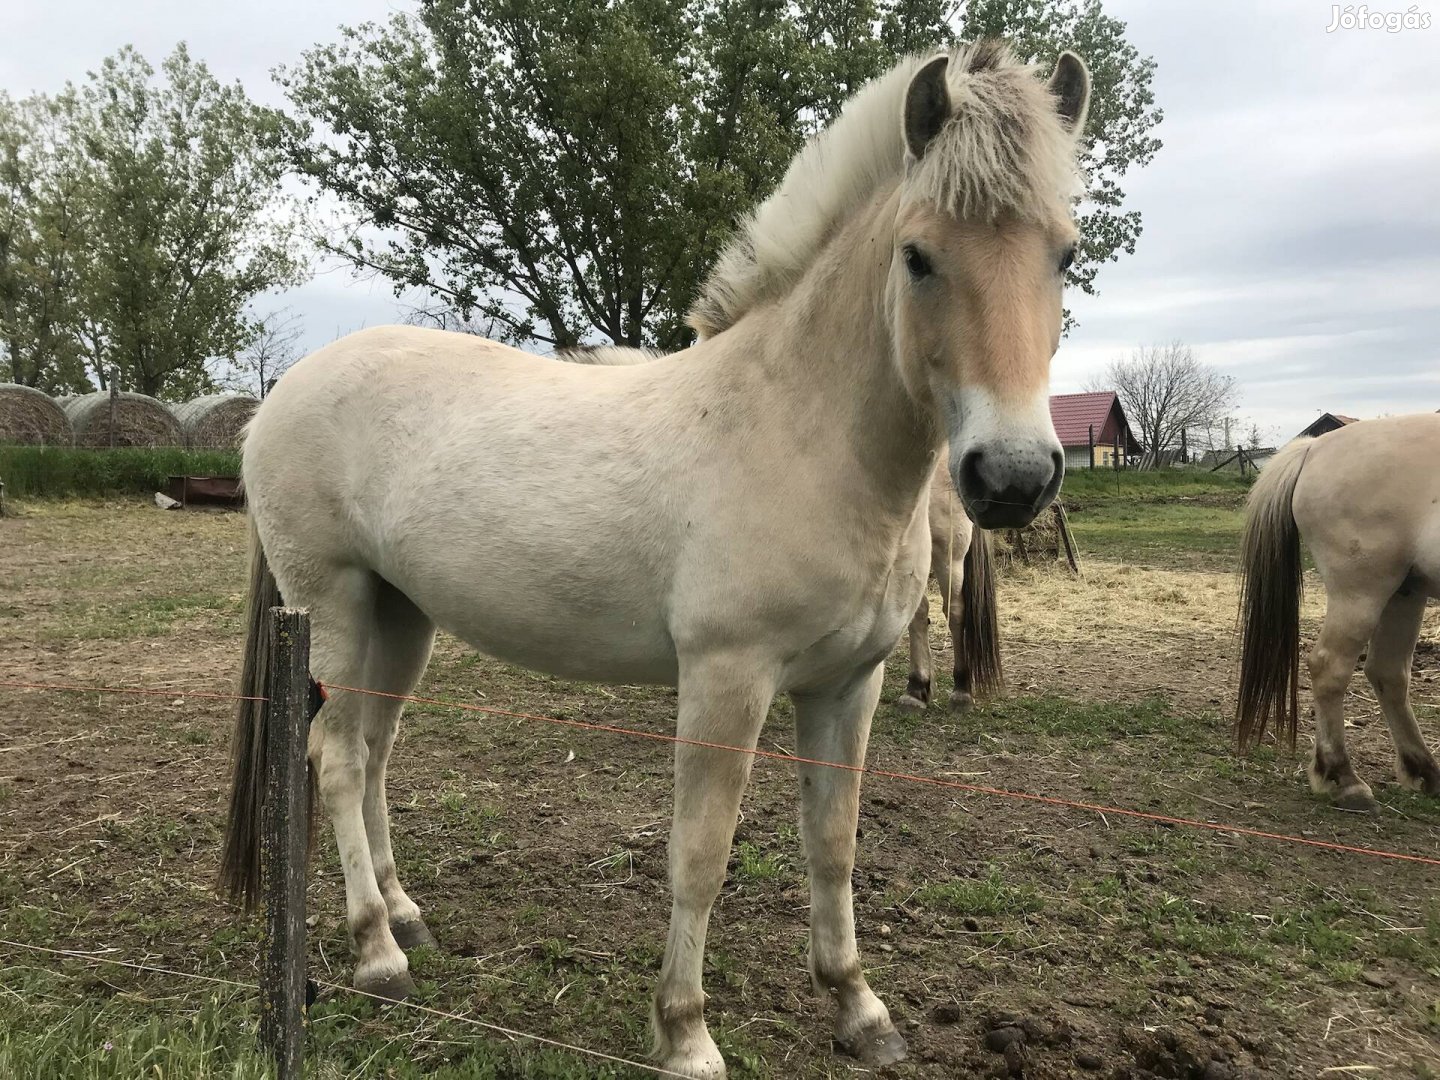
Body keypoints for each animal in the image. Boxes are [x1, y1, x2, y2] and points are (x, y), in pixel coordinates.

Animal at [218, 38, 1082, 1077]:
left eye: (1066, 254)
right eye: (917, 257)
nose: (1013, 477)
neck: (794, 429)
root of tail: (279, 395)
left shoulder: (850, 684)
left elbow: (833, 844)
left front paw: (859, 1008)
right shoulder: (725, 680)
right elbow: (700, 856)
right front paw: (685, 1031)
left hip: (402, 615)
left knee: (376, 750)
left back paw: (406, 913)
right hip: (337, 606)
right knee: (339, 758)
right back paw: (378, 953)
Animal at [1238, 414, 1440, 812]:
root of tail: (1314, 448)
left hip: (1405, 591)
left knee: (1388, 673)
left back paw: (1423, 769)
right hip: (1363, 591)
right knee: (1330, 666)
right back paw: (1342, 778)